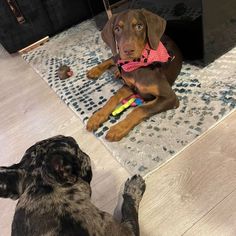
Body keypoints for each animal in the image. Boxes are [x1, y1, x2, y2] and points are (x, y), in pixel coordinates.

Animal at [86, 9, 183, 141]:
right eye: (117, 29)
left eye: (139, 26)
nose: (128, 50)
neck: (137, 66)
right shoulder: (129, 85)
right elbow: (114, 97)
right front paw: (97, 116)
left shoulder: (170, 97)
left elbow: (140, 109)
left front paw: (119, 128)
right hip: (118, 54)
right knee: (113, 58)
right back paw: (95, 70)